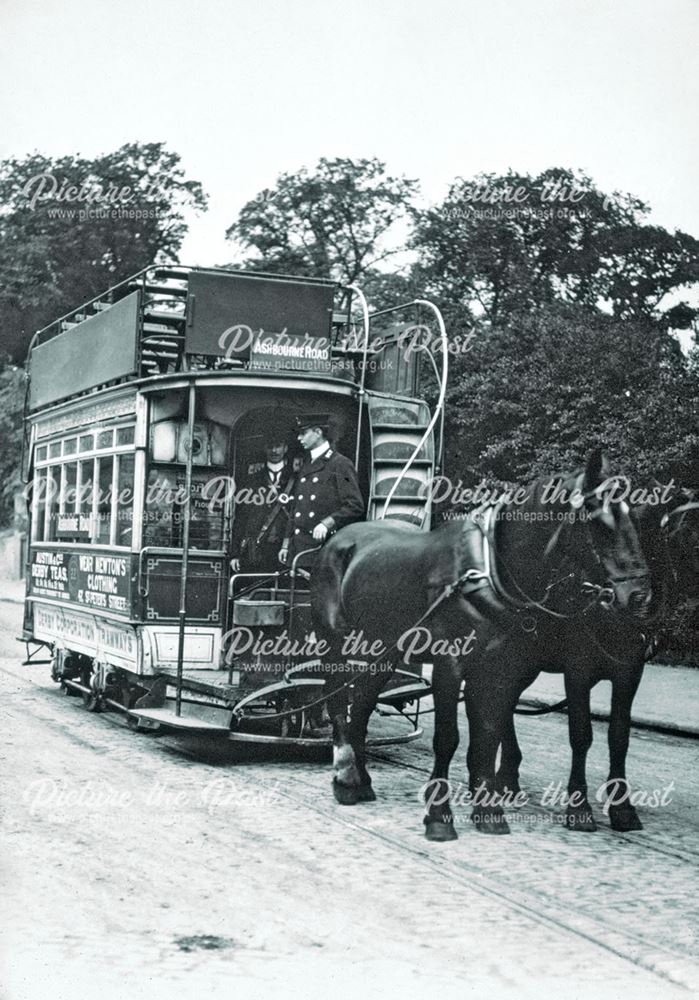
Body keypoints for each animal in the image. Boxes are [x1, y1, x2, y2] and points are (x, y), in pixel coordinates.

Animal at [314, 452, 652, 836]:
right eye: (598, 518)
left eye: (637, 518)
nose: (638, 597)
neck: (488, 571)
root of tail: (339, 539)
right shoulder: (450, 666)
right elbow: (448, 738)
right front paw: (439, 817)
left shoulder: (499, 668)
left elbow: (487, 735)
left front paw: (488, 811)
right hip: (335, 643)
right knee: (338, 704)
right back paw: (344, 778)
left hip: (384, 651)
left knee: (363, 705)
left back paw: (361, 781)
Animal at [498, 488, 699, 832]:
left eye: (650, 533)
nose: (638, 599)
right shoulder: (577, 671)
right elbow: (581, 734)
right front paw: (578, 807)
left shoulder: (630, 673)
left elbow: (619, 736)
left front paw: (623, 808)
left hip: (527, 663)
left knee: (506, 702)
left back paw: (508, 778)